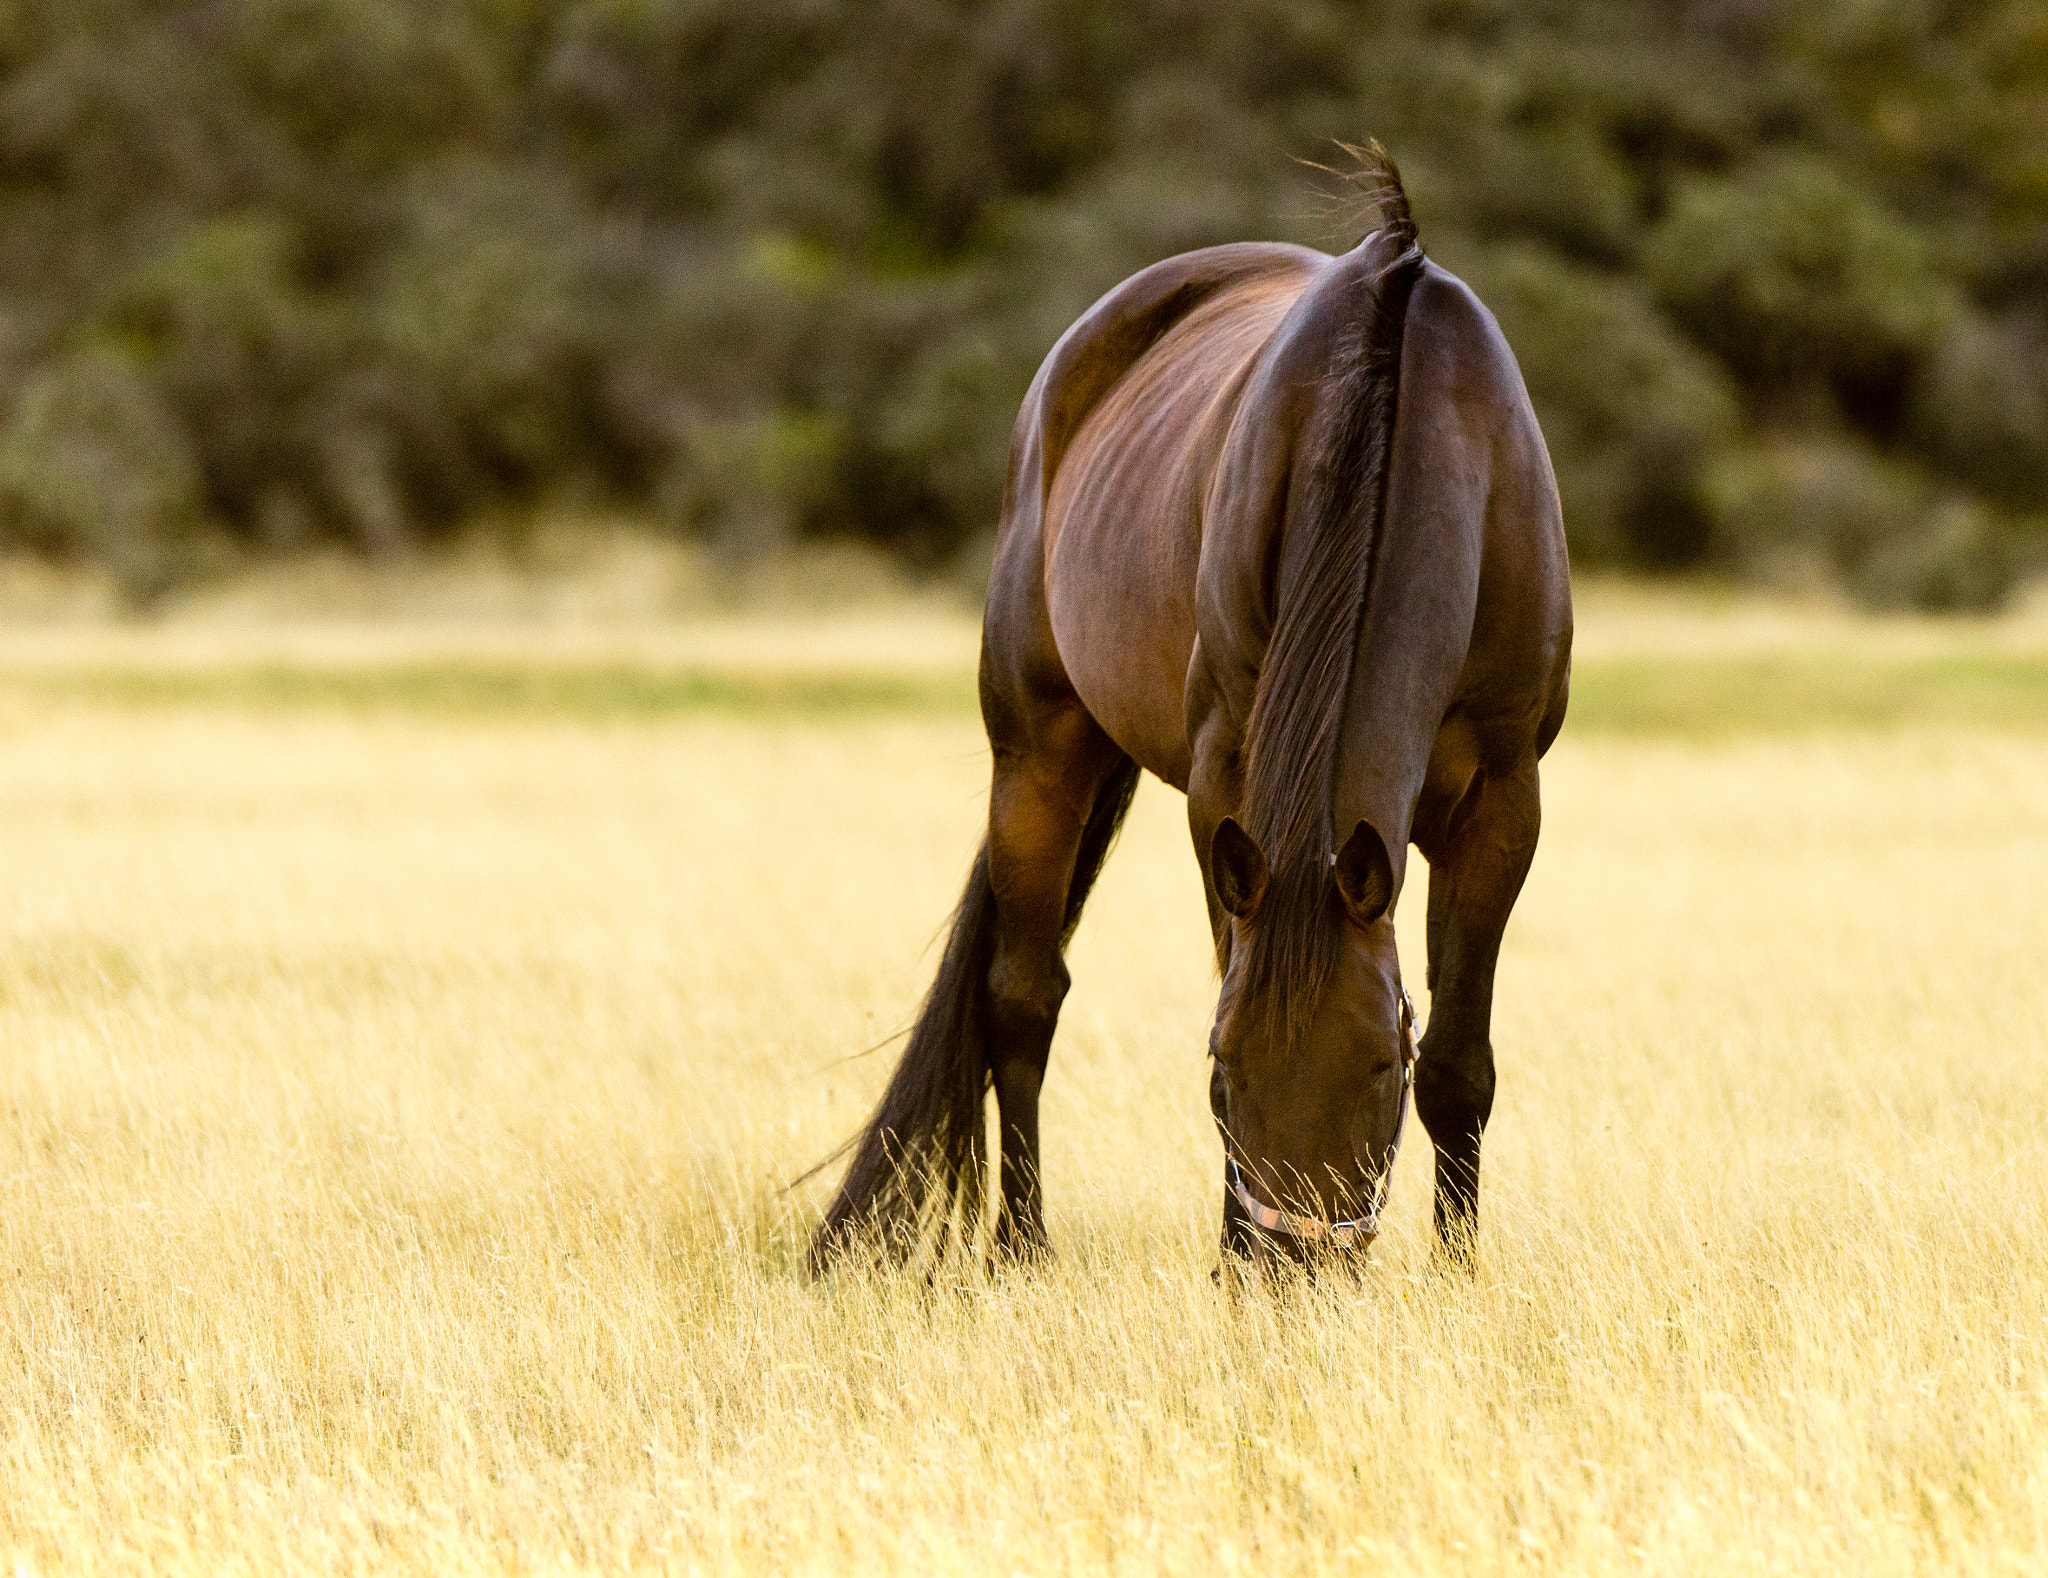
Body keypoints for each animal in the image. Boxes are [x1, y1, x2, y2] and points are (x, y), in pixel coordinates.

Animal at [811, 151, 1564, 1268]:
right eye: (1222, 1069)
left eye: (1379, 1065)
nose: (1293, 1272)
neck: (1400, 427)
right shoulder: (1224, 786)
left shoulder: (1503, 804)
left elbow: (1461, 1065)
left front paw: (1459, 1276)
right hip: (1037, 749)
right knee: (1020, 999)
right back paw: (1020, 1249)